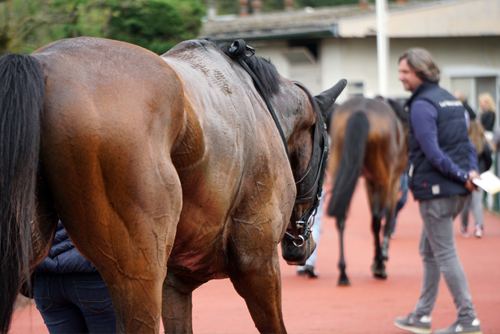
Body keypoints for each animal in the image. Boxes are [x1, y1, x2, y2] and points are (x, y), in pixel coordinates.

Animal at [0, 37, 346, 332]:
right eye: (327, 152)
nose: (302, 246)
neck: (256, 101)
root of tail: (44, 64)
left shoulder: (175, 283)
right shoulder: (257, 262)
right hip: (137, 274)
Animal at [328, 96, 406, 284]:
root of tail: (361, 111)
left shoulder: (369, 183)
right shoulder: (391, 182)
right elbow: (387, 217)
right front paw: (381, 258)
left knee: (341, 217)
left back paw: (343, 272)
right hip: (383, 179)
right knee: (377, 220)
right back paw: (379, 264)